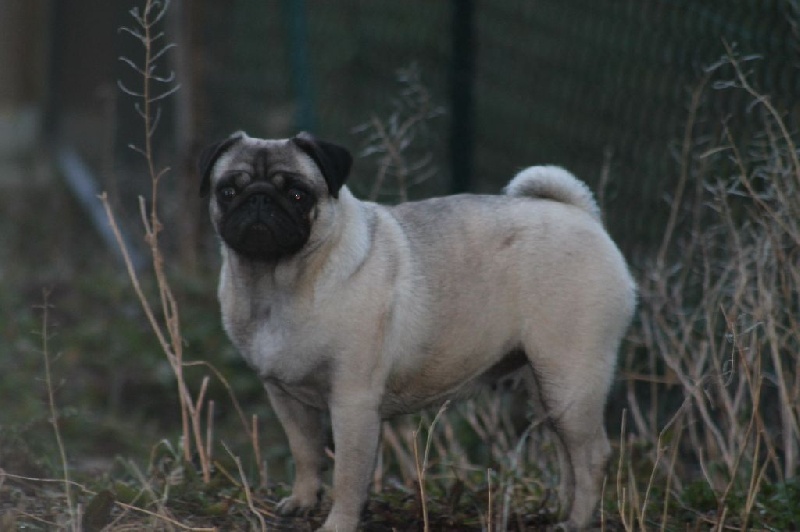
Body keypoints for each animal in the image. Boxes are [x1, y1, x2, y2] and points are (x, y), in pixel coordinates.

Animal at [200, 131, 636, 528]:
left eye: (297, 194)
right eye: (227, 191)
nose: (258, 199)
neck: (277, 284)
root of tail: (581, 215)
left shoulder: (353, 403)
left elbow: (348, 477)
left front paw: (338, 524)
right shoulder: (286, 397)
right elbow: (306, 454)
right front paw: (304, 501)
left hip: (570, 380)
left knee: (592, 455)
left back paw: (576, 521)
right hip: (546, 386)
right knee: (567, 452)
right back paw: (562, 510)